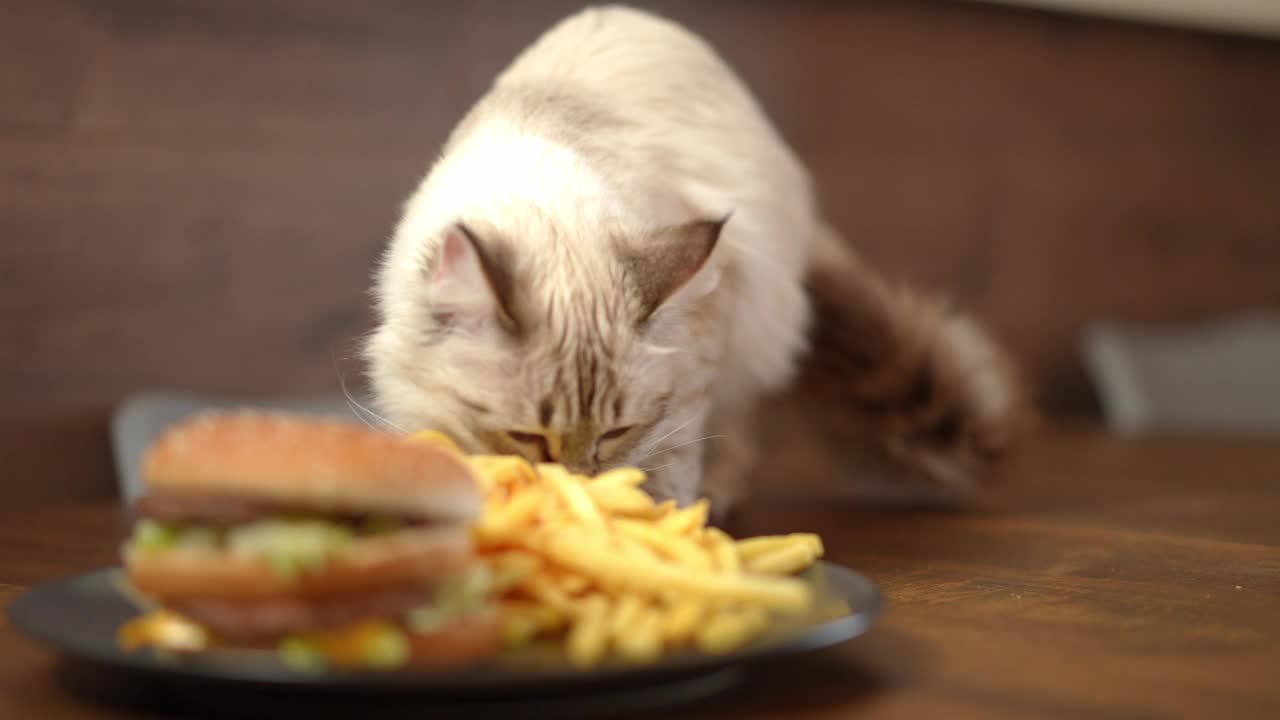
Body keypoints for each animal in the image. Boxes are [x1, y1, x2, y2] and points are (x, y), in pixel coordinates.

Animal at [366, 2, 1024, 512]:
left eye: (616, 432)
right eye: (526, 438)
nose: (579, 483)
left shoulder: (698, 361)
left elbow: (676, 455)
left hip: (756, 328)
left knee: (740, 434)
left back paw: (722, 497)